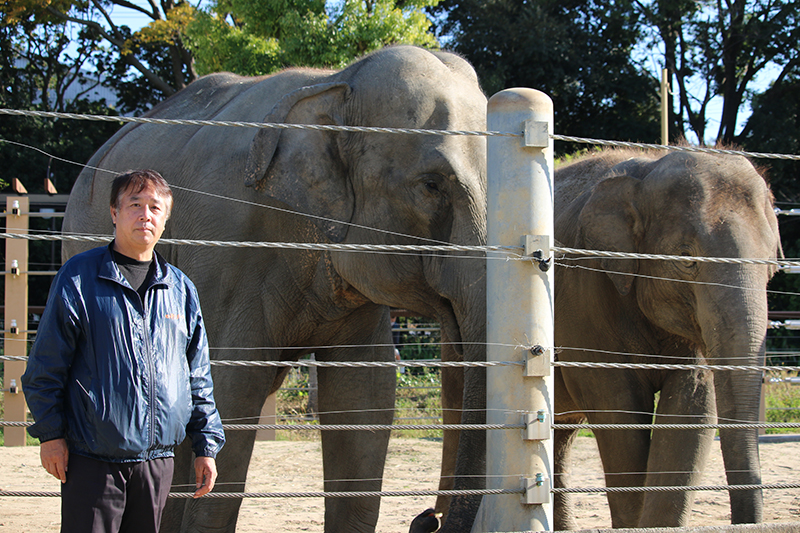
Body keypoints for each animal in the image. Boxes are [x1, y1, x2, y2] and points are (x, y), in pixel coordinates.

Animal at [61, 45, 488, 532]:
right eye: (431, 185)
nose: (427, 517)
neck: (336, 81)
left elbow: (364, 397)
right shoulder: (228, 253)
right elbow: (230, 392)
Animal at [552, 149, 780, 528]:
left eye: (771, 265)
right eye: (687, 259)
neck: (645, 170)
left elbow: (693, 409)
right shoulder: (582, 293)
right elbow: (618, 410)